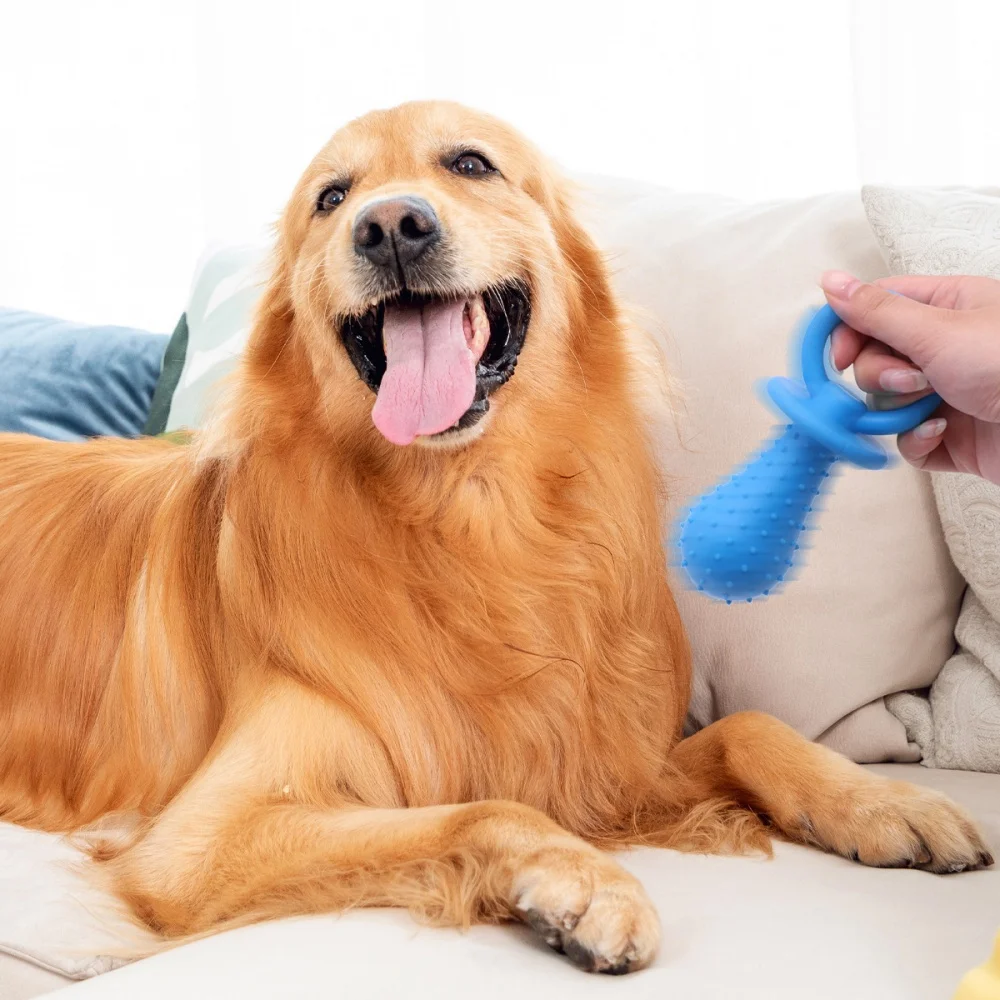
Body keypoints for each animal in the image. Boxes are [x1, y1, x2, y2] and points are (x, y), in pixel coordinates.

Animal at [0, 103, 988, 976]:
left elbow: (748, 725)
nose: (390, 226)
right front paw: (585, 886)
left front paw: (878, 801)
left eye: (470, 163)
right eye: (331, 196)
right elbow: (481, 809)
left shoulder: (602, 763)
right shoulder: (200, 838)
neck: (465, 511)